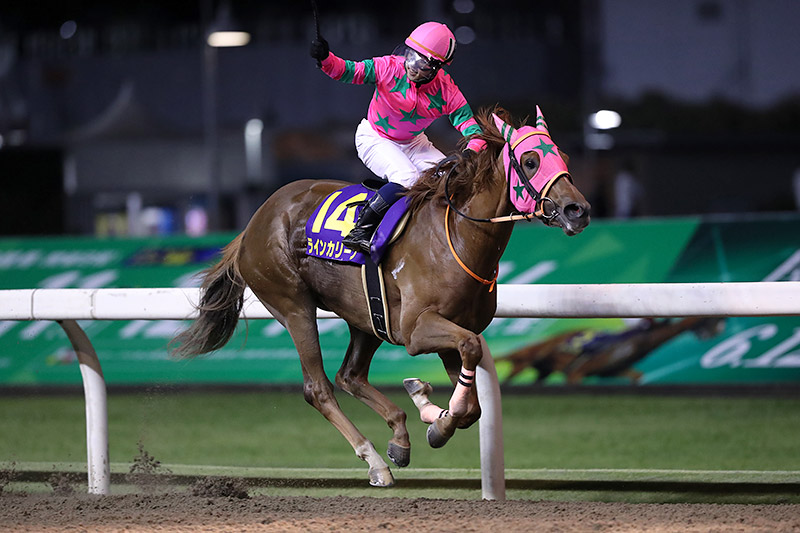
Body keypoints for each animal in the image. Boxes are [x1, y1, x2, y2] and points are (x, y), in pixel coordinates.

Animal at [172, 107, 592, 486]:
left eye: (565, 158)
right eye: (531, 160)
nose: (579, 210)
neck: (457, 238)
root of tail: (254, 223)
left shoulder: (451, 329)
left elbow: (472, 404)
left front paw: (433, 414)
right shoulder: (417, 329)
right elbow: (471, 353)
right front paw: (435, 417)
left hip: (366, 316)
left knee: (350, 375)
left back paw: (401, 435)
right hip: (293, 305)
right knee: (319, 387)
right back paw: (375, 461)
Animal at [500, 314, 724, 384]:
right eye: (708, 320)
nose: (717, 330)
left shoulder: (615, 371)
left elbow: (637, 376)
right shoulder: (578, 371)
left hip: (540, 370)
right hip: (525, 356)